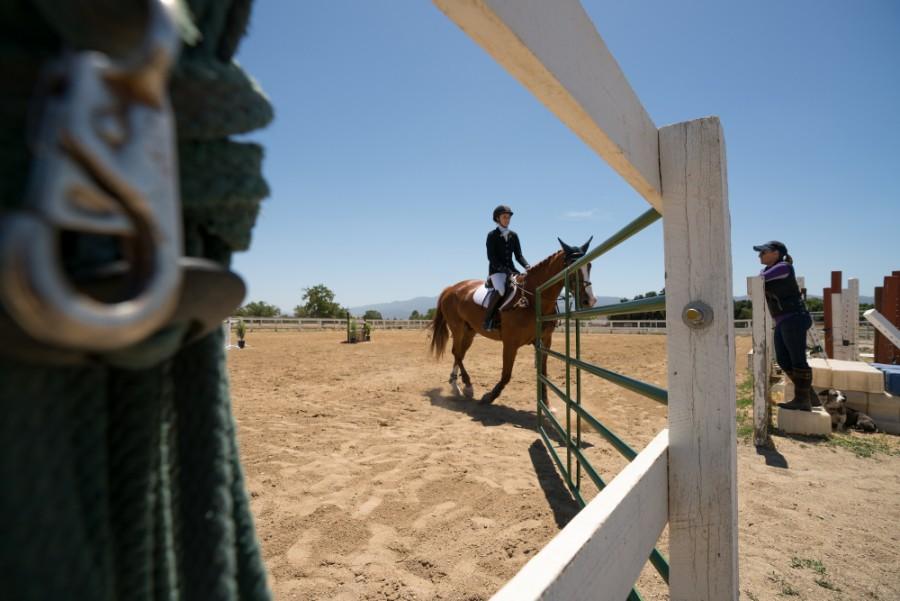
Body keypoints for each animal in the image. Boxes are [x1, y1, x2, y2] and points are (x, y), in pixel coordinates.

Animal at [430, 238, 596, 404]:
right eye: (571, 266)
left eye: (589, 265)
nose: (589, 300)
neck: (533, 299)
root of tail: (451, 288)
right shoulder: (511, 342)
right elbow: (506, 374)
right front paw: (490, 396)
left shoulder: (545, 341)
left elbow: (543, 372)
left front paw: (546, 402)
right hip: (457, 328)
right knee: (456, 352)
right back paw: (467, 385)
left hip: (469, 331)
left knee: (460, 354)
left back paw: (456, 385)